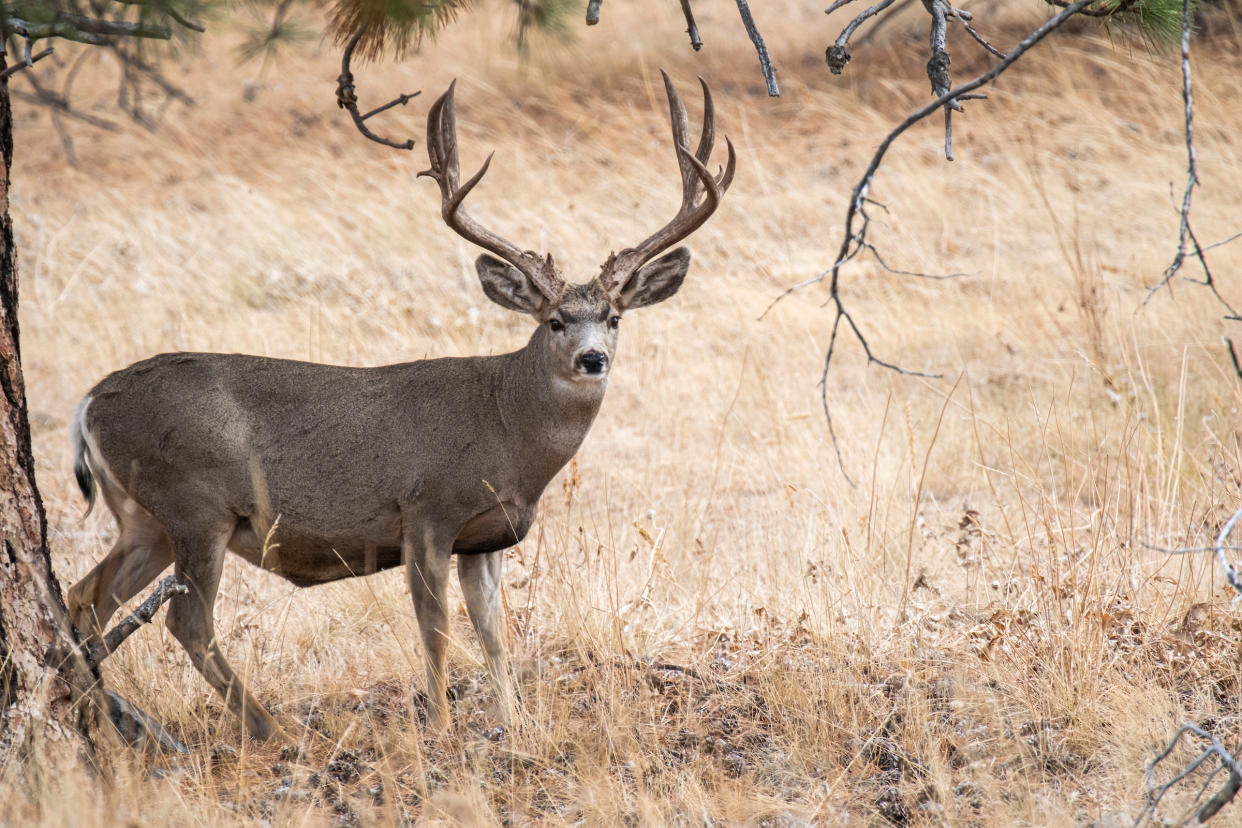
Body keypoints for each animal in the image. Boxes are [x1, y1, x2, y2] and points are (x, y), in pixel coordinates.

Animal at [67, 71, 730, 739]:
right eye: (555, 321)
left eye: (615, 317)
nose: (592, 359)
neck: (505, 424)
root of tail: (91, 401)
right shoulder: (426, 510)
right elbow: (435, 629)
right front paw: (440, 726)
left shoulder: (484, 539)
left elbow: (495, 634)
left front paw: (512, 723)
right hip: (195, 504)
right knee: (186, 622)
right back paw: (267, 728)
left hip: (146, 519)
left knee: (83, 601)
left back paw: (101, 722)